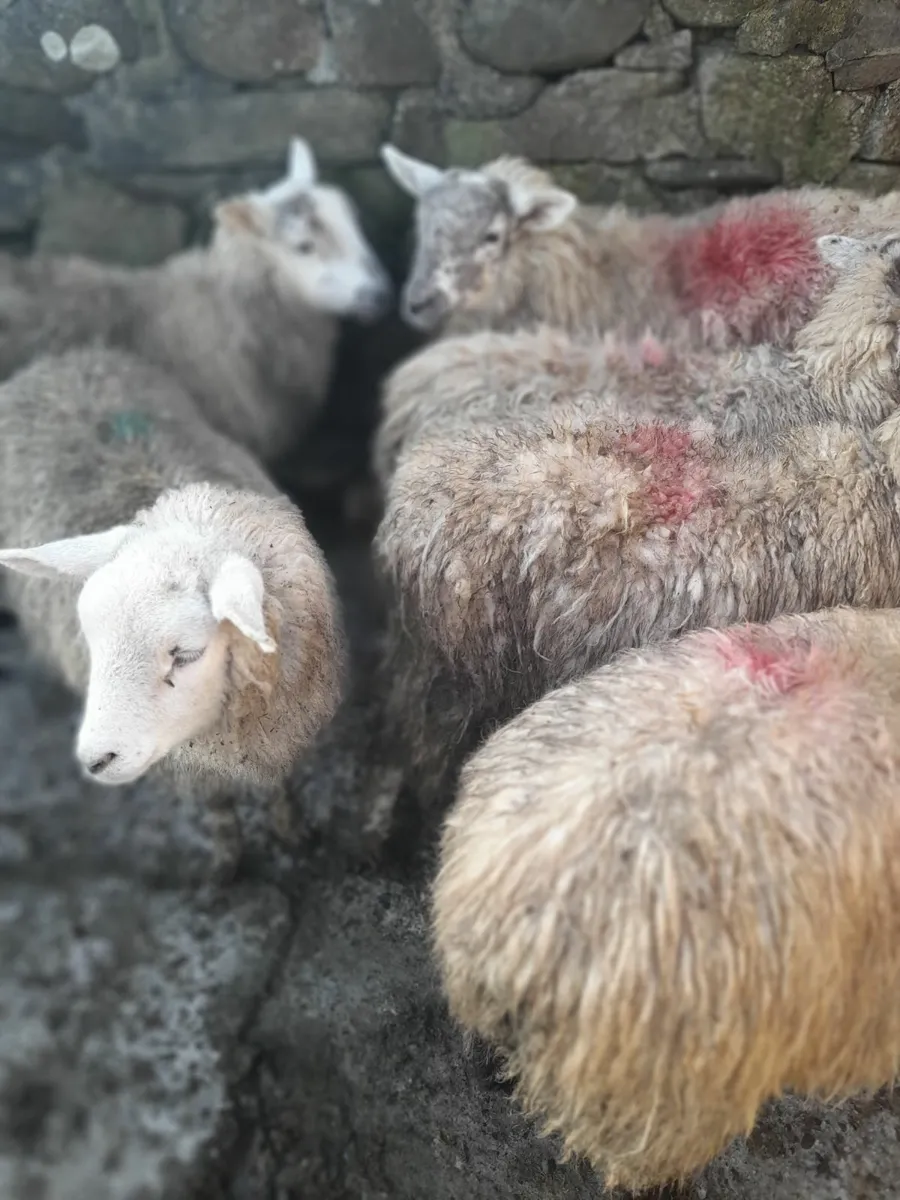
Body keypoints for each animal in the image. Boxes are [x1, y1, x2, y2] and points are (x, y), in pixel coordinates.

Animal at [0, 346, 345, 875]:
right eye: (91, 642)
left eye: (185, 654)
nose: (94, 760)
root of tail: (64, 360)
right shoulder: (188, 764)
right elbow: (219, 809)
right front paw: (227, 861)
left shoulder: (280, 732)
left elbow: (280, 790)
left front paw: (293, 834)